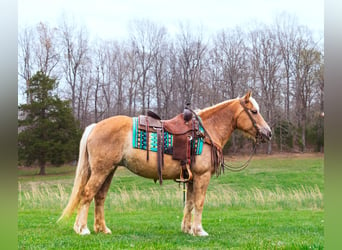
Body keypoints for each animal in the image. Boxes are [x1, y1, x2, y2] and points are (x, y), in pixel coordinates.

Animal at [58, 91, 272, 235]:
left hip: (108, 170)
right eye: (254, 111)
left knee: (99, 197)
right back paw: (82, 228)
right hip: (101, 170)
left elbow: (190, 203)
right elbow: (199, 202)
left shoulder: (191, 178)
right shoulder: (202, 176)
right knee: (87, 193)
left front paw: (187, 229)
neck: (205, 132)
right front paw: (199, 230)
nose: (268, 132)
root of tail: (95, 127)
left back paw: (102, 229)